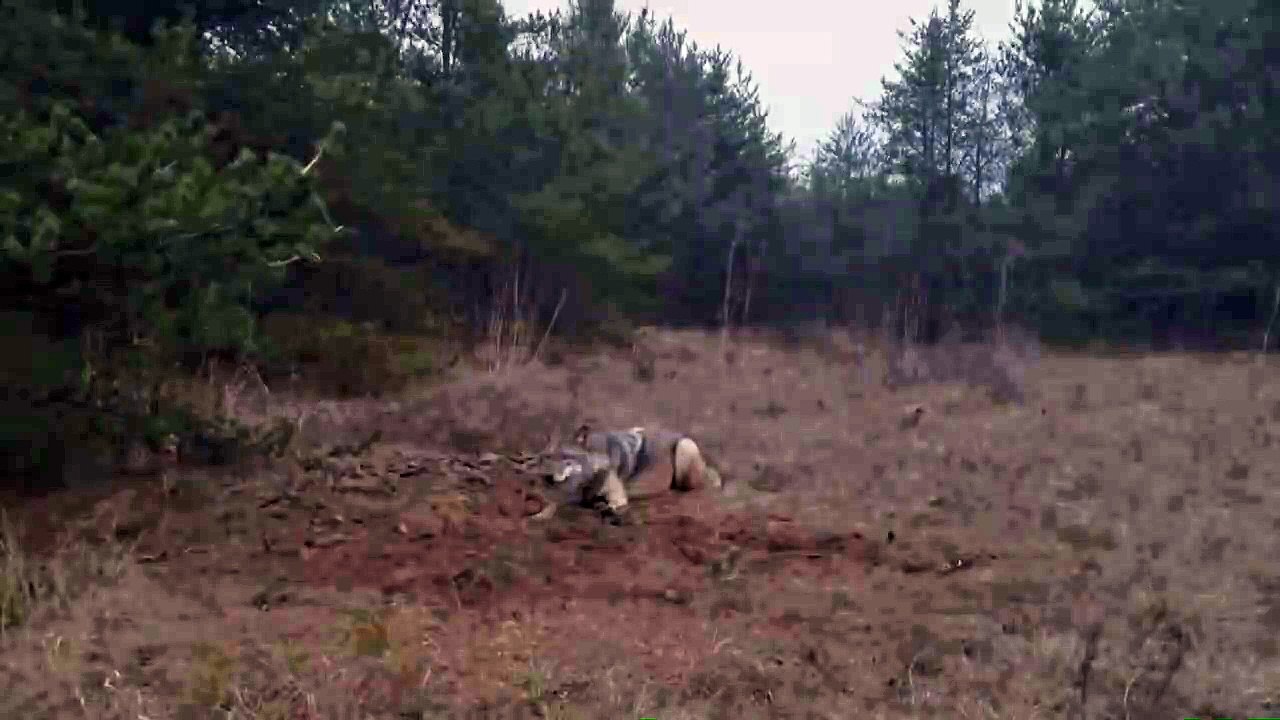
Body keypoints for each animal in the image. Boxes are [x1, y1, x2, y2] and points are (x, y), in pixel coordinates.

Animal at [537, 425, 723, 522]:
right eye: (547, 457)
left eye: (565, 457)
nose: (548, 478)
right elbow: (554, 504)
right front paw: (539, 515)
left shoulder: (617, 497)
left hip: (684, 447)